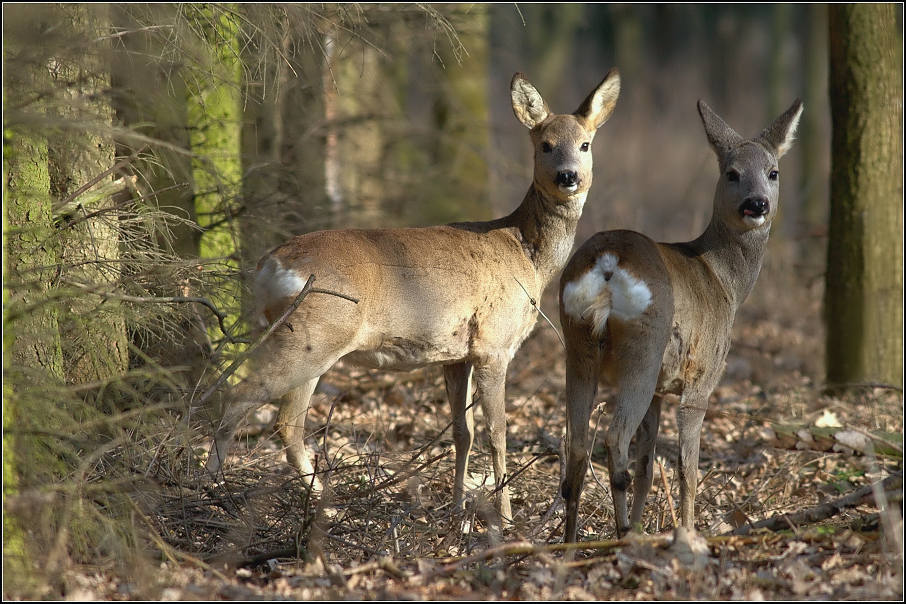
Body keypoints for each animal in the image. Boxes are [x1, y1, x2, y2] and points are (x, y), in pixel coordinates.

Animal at [206, 69, 616, 524]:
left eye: (585, 144)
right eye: (545, 144)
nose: (568, 176)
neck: (527, 254)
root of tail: (267, 267)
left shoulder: (457, 354)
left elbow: (463, 432)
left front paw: (457, 510)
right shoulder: (494, 343)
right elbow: (497, 432)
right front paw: (506, 517)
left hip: (303, 339)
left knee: (282, 420)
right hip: (312, 336)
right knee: (251, 402)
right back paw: (220, 488)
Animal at [556, 96, 800, 540]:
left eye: (773, 172)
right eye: (731, 172)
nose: (757, 203)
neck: (724, 281)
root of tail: (607, 263)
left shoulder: (659, 390)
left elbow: (648, 468)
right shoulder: (701, 378)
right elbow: (688, 468)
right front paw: (687, 532)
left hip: (578, 344)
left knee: (579, 444)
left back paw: (570, 542)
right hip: (644, 347)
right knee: (614, 438)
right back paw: (622, 534)